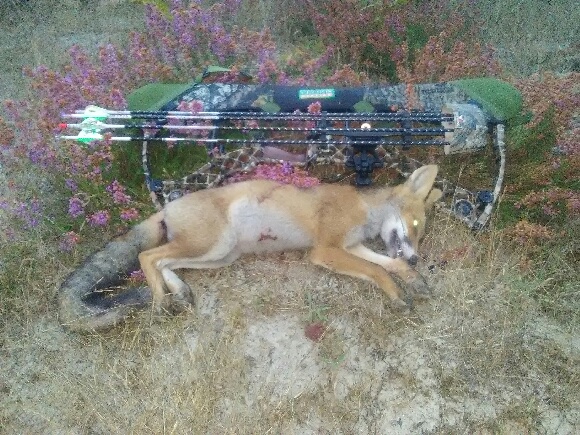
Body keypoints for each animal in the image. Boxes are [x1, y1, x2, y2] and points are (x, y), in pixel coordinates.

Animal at [59, 165, 442, 332]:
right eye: (416, 226)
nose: (417, 256)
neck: (364, 210)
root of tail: (168, 205)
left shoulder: (352, 246)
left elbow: (387, 265)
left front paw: (412, 279)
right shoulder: (326, 249)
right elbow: (378, 270)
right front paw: (398, 294)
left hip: (218, 255)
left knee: (165, 263)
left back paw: (179, 293)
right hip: (212, 244)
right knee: (146, 256)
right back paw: (158, 304)